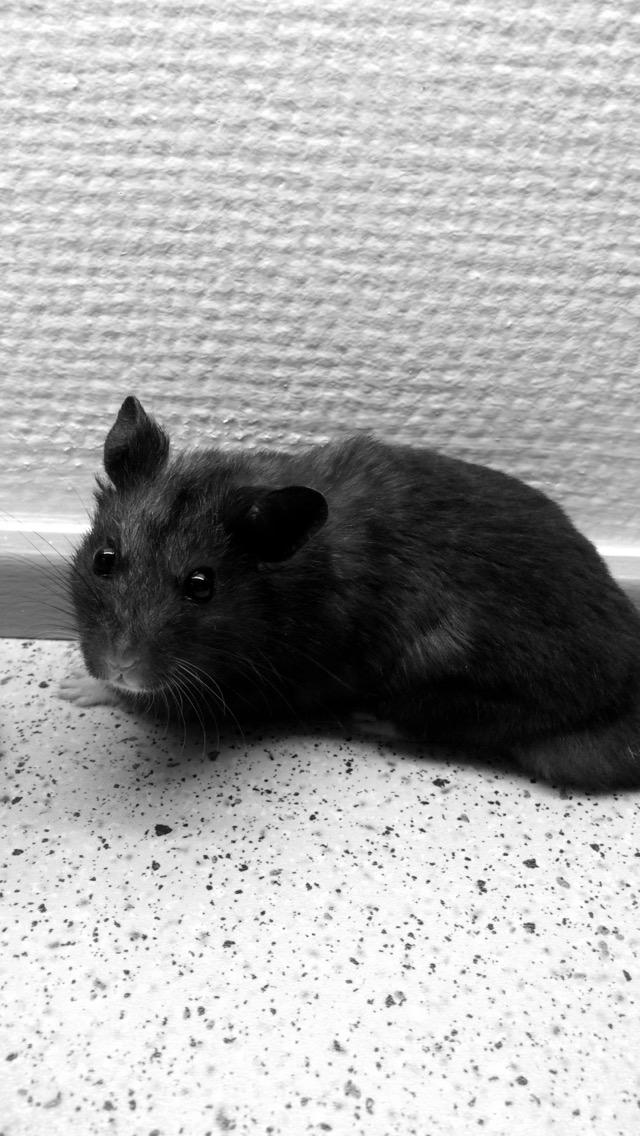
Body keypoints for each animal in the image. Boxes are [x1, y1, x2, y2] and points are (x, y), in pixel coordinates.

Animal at [69, 395, 640, 789]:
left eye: (201, 586)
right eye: (104, 558)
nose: (121, 664)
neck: (276, 587)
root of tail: (620, 703)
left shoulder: (238, 690)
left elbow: (147, 704)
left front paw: (78, 690)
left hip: (449, 682)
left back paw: (366, 719)